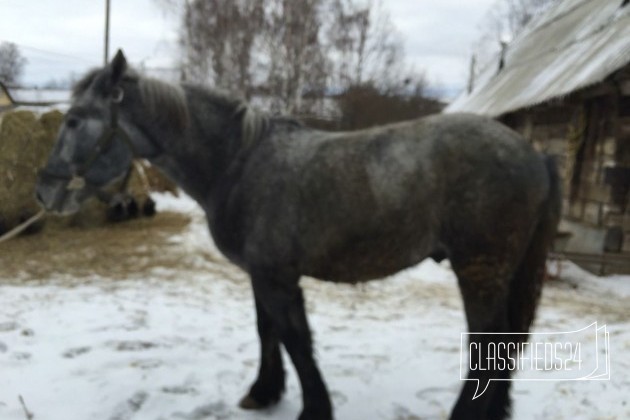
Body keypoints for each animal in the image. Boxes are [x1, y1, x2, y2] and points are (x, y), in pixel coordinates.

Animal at [35, 50, 564, 418]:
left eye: (75, 119)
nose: (44, 189)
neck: (238, 163)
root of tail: (535, 155)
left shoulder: (277, 278)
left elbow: (296, 341)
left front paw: (313, 409)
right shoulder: (261, 275)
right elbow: (269, 332)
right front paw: (264, 393)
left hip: (479, 271)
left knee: (489, 347)